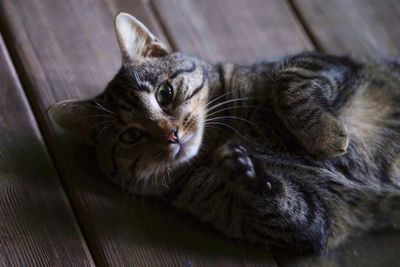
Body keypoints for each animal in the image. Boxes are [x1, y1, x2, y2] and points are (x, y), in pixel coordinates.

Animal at [48, 13, 400, 255]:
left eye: (164, 93)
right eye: (131, 136)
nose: (171, 135)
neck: (217, 142)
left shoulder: (318, 61)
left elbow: (288, 82)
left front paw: (325, 137)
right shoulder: (313, 222)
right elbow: (280, 203)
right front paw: (242, 169)